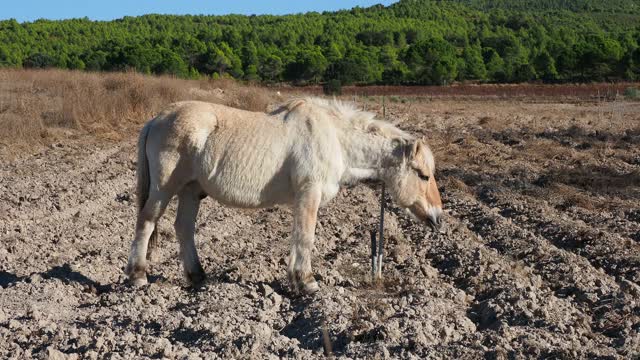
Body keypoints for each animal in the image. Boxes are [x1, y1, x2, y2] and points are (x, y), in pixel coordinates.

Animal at [127, 97, 442, 294]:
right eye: (424, 175)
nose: (438, 218)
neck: (335, 137)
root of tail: (156, 119)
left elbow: (298, 237)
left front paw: (296, 280)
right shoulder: (309, 193)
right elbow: (305, 237)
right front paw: (307, 283)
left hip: (191, 190)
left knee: (184, 228)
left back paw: (197, 276)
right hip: (164, 189)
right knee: (146, 223)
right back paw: (138, 276)